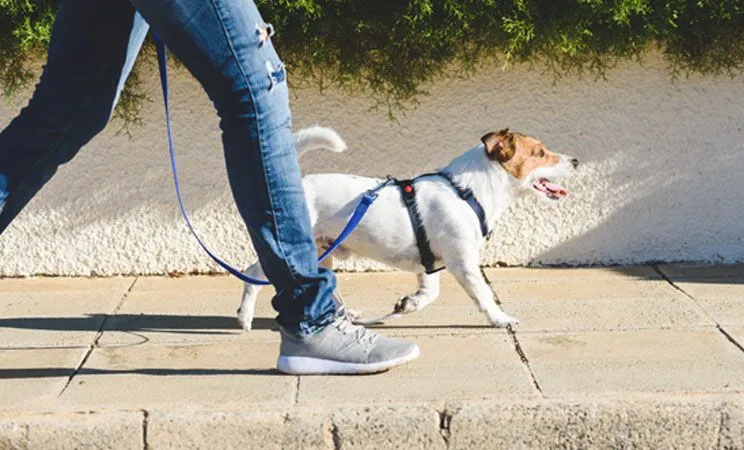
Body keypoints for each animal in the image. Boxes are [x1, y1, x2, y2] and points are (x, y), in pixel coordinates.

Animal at [235, 126, 580, 330]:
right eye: (539, 153)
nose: (576, 161)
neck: (468, 191)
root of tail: (297, 186)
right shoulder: (463, 263)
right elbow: (483, 294)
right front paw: (500, 318)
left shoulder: (431, 264)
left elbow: (429, 293)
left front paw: (409, 304)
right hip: (294, 250)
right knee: (252, 274)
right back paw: (245, 317)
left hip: (323, 252)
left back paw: (347, 315)